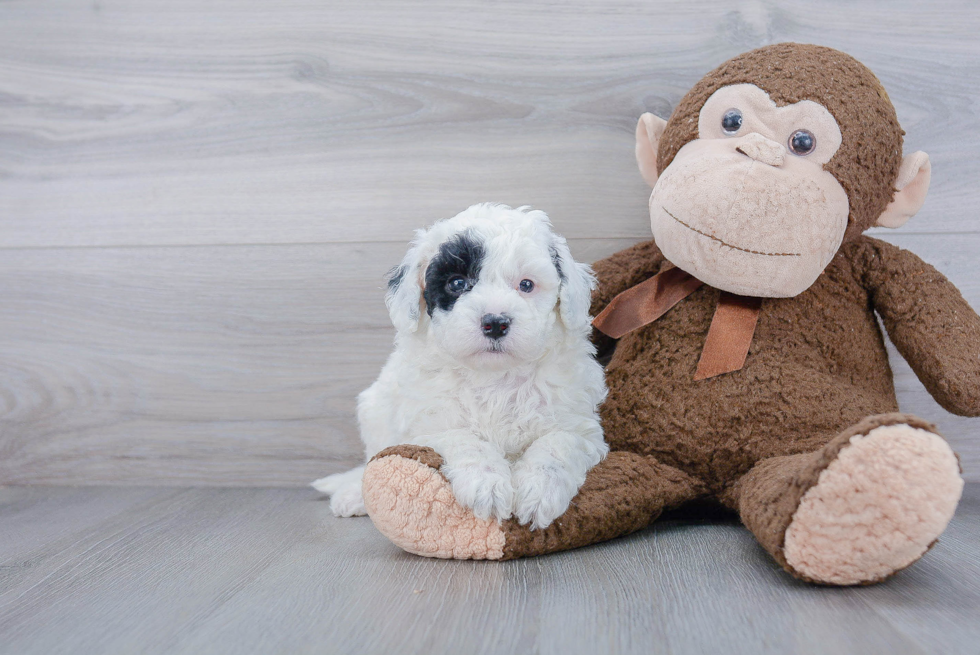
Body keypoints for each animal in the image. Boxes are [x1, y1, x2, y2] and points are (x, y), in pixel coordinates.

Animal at [312, 202, 604, 532]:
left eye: (526, 285)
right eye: (457, 283)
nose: (495, 322)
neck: (495, 376)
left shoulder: (579, 425)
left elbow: (557, 445)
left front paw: (539, 491)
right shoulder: (429, 425)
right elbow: (465, 440)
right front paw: (487, 486)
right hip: (375, 411)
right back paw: (353, 495)